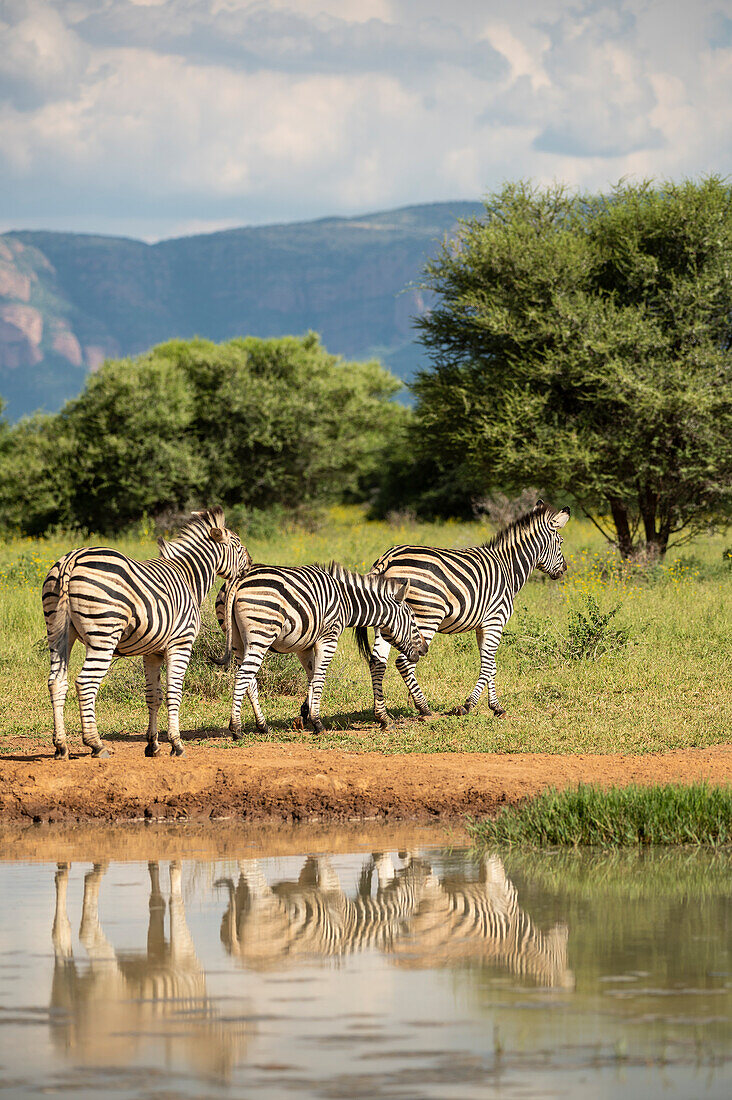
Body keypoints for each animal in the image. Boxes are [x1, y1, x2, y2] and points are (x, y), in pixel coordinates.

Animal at [42, 503, 249, 756]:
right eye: (238, 545)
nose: (251, 564)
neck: (189, 578)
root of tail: (72, 559)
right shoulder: (181, 643)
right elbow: (173, 693)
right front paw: (176, 744)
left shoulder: (152, 651)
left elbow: (153, 696)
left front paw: (153, 744)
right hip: (104, 634)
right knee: (85, 683)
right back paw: (96, 744)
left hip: (57, 632)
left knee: (56, 682)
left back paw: (61, 746)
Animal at [214, 563, 424, 734]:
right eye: (413, 619)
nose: (423, 650)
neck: (346, 602)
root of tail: (238, 580)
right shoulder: (328, 638)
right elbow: (319, 678)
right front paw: (317, 723)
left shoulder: (304, 645)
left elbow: (311, 678)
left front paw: (304, 716)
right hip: (261, 633)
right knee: (243, 676)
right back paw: (236, 728)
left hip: (238, 641)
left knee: (250, 681)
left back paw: (263, 726)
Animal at [354, 501, 572, 726]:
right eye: (561, 542)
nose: (564, 569)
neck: (508, 568)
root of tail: (387, 559)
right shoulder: (495, 620)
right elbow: (487, 665)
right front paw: (468, 706)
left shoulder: (482, 625)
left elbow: (491, 665)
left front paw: (496, 707)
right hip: (425, 617)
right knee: (404, 662)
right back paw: (424, 708)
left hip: (389, 619)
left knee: (377, 662)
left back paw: (382, 716)